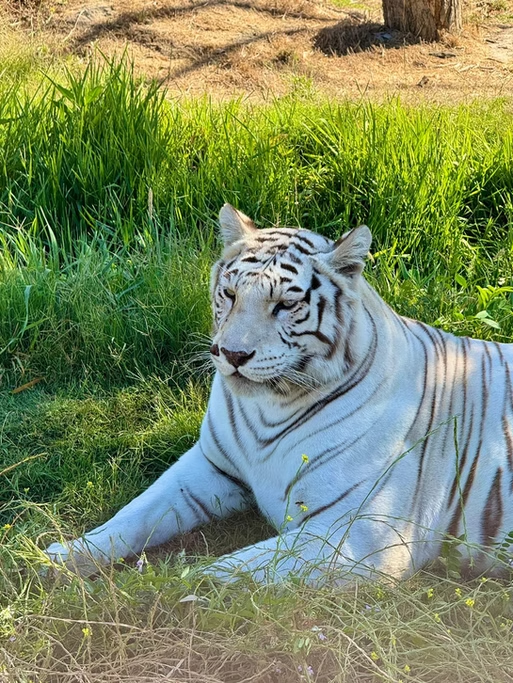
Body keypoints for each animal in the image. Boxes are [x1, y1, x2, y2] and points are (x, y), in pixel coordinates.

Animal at [45, 203, 513, 583]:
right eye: (229, 293)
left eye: (286, 305)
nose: (232, 354)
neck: (270, 407)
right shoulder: (209, 468)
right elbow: (134, 514)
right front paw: (60, 558)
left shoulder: (359, 534)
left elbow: (226, 572)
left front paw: (160, 592)